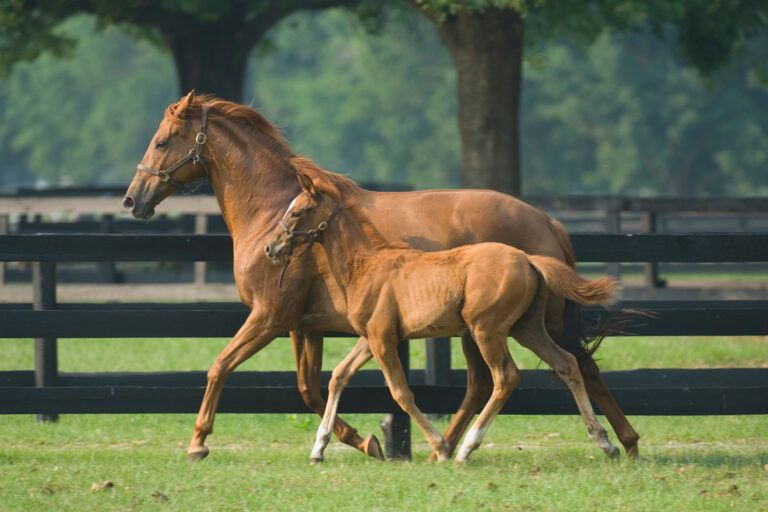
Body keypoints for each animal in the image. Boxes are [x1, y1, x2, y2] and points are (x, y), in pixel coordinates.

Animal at [265, 169, 620, 462]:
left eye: (297, 211)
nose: (270, 248)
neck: (368, 265)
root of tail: (527, 258)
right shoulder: (371, 338)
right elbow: (339, 375)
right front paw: (318, 449)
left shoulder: (382, 339)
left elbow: (401, 393)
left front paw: (439, 446)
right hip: (527, 328)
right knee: (567, 364)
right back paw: (605, 442)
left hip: (486, 330)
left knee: (505, 377)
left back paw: (465, 449)